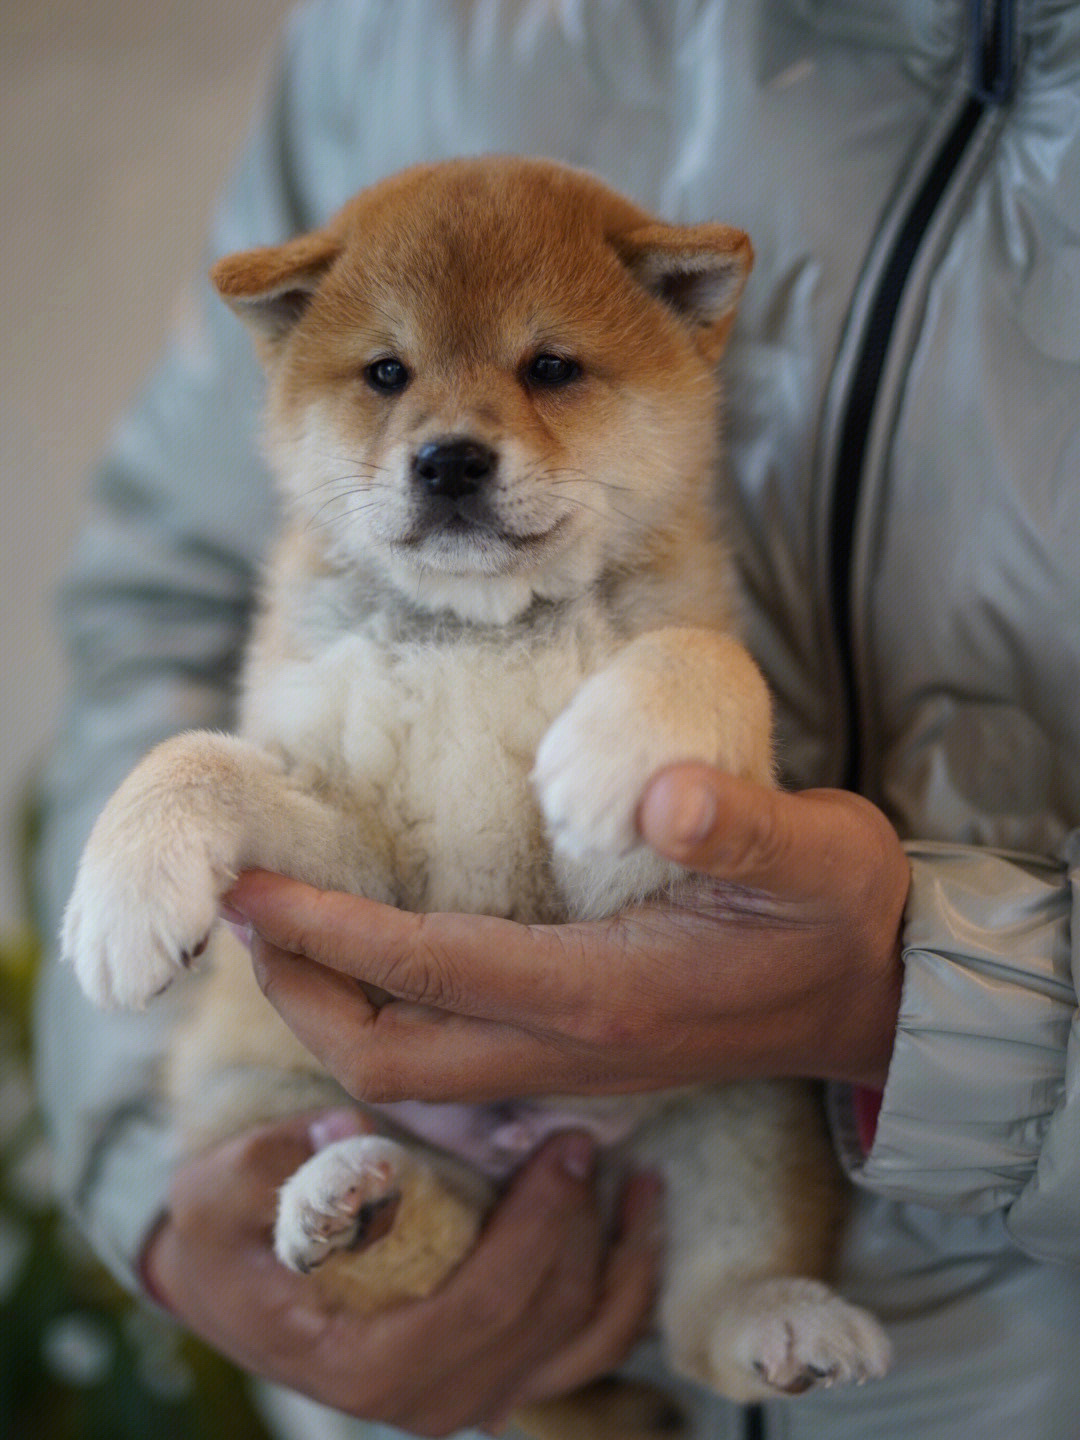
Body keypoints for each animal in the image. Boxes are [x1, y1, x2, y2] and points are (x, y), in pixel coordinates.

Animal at [69, 151, 898, 1434]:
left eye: (549, 366)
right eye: (387, 373)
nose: (449, 458)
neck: (481, 636)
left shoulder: (623, 876)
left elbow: (707, 661)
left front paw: (615, 746)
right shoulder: (366, 863)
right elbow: (198, 756)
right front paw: (124, 893)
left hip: (750, 1108)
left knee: (710, 1305)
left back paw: (786, 1320)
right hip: (247, 1094)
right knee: (416, 1262)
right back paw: (347, 1198)